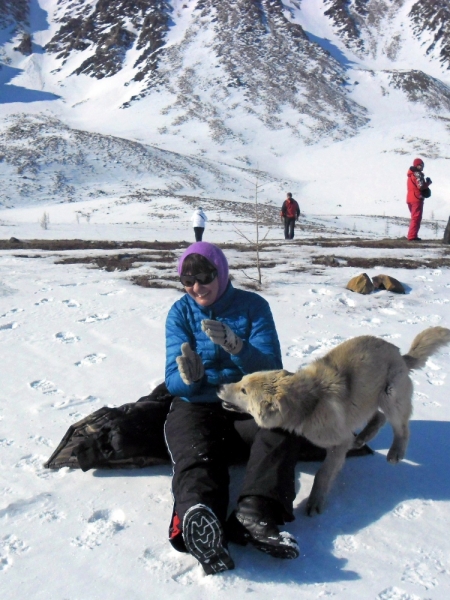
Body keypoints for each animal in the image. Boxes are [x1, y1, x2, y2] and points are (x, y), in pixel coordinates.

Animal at [218, 328, 450, 516]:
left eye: (244, 390)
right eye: (241, 381)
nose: (219, 387)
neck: (310, 404)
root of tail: (400, 355)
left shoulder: (339, 443)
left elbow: (323, 474)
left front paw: (314, 502)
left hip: (390, 396)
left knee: (401, 427)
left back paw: (395, 453)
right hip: (370, 399)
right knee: (379, 417)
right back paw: (363, 438)